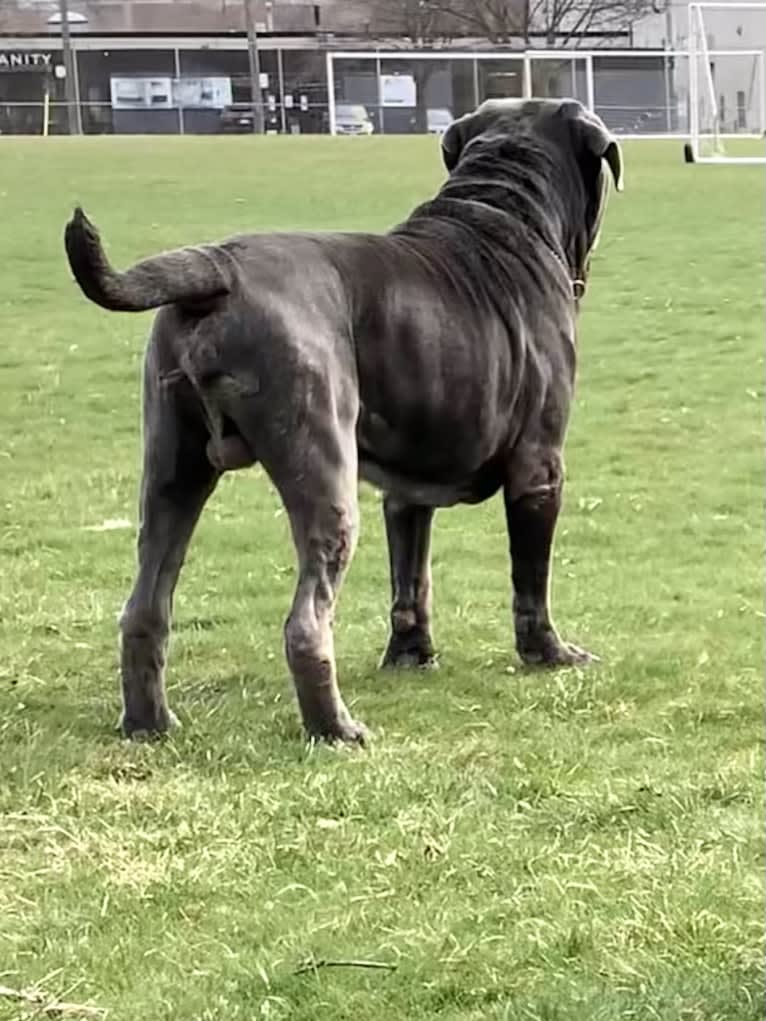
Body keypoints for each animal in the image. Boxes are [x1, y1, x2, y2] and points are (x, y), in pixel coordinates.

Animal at [63, 99, 620, 747]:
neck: (507, 211)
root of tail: (219, 265)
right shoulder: (539, 468)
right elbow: (531, 578)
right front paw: (548, 654)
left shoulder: (407, 491)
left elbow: (411, 579)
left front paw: (411, 654)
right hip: (322, 474)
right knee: (305, 622)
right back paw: (335, 729)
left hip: (172, 471)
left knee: (146, 607)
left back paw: (148, 723)